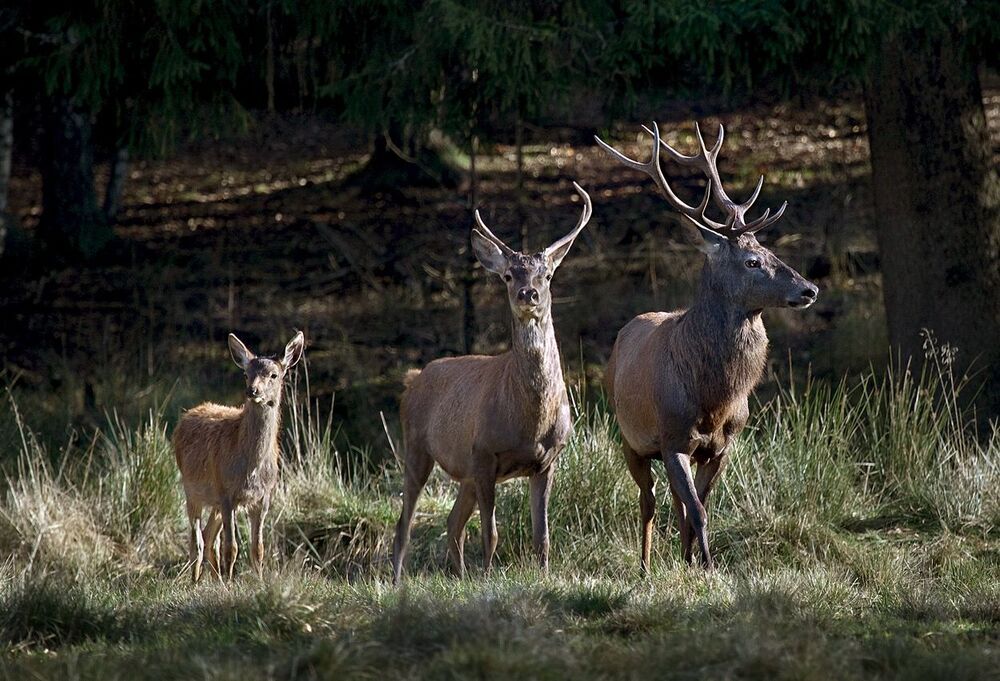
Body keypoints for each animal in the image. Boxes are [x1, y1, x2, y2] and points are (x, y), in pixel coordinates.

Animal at [172, 331, 304, 582]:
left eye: (273, 375)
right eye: (246, 374)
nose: (252, 391)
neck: (251, 467)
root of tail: (185, 416)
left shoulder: (263, 498)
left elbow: (258, 549)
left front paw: (259, 582)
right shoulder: (226, 493)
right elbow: (231, 548)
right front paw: (232, 583)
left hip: (213, 501)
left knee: (208, 537)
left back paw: (215, 581)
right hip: (191, 490)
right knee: (197, 541)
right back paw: (196, 581)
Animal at [391, 182, 593, 584]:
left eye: (547, 275)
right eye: (508, 276)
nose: (528, 294)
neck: (529, 423)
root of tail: (414, 380)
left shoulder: (547, 460)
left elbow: (542, 534)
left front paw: (542, 576)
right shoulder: (484, 452)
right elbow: (491, 531)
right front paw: (487, 578)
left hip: (463, 470)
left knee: (452, 522)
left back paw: (458, 575)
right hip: (417, 446)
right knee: (405, 523)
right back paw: (395, 578)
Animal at [594, 123, 818, 572]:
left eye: (772, 251)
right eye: (752, 261)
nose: (809, 289)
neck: (713, 398)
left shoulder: (722, 447)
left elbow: (702, 506)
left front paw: (697, 563)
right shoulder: (672, 437)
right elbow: (696, 510)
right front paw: (710, 566)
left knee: (675, 503)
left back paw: (679, 557)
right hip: (630, 437)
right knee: (648, 501)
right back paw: (644, 566)